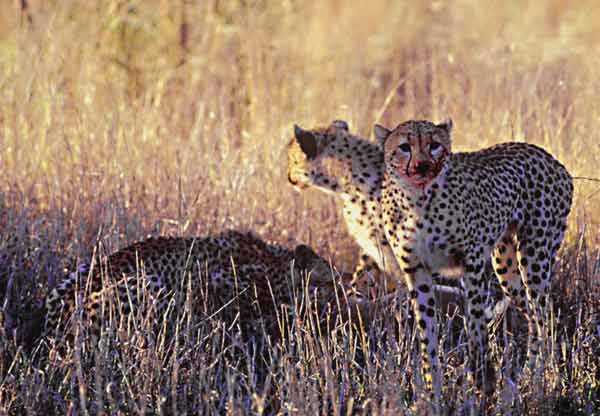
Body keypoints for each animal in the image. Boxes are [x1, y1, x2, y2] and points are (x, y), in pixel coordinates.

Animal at [372, 118, 576, 402]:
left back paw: (544, 380)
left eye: (434, 145)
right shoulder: (417, 271)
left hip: (535, 256)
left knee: (545, 315)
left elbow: (476, 327)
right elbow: (428, 333)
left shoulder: (472, 264)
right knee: (533, 315)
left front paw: (482, 385)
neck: (418, 201)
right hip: (505, 265)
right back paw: (528, 377)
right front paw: (432, 392)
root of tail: (551, 159)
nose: (422, 166)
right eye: (404, 147)